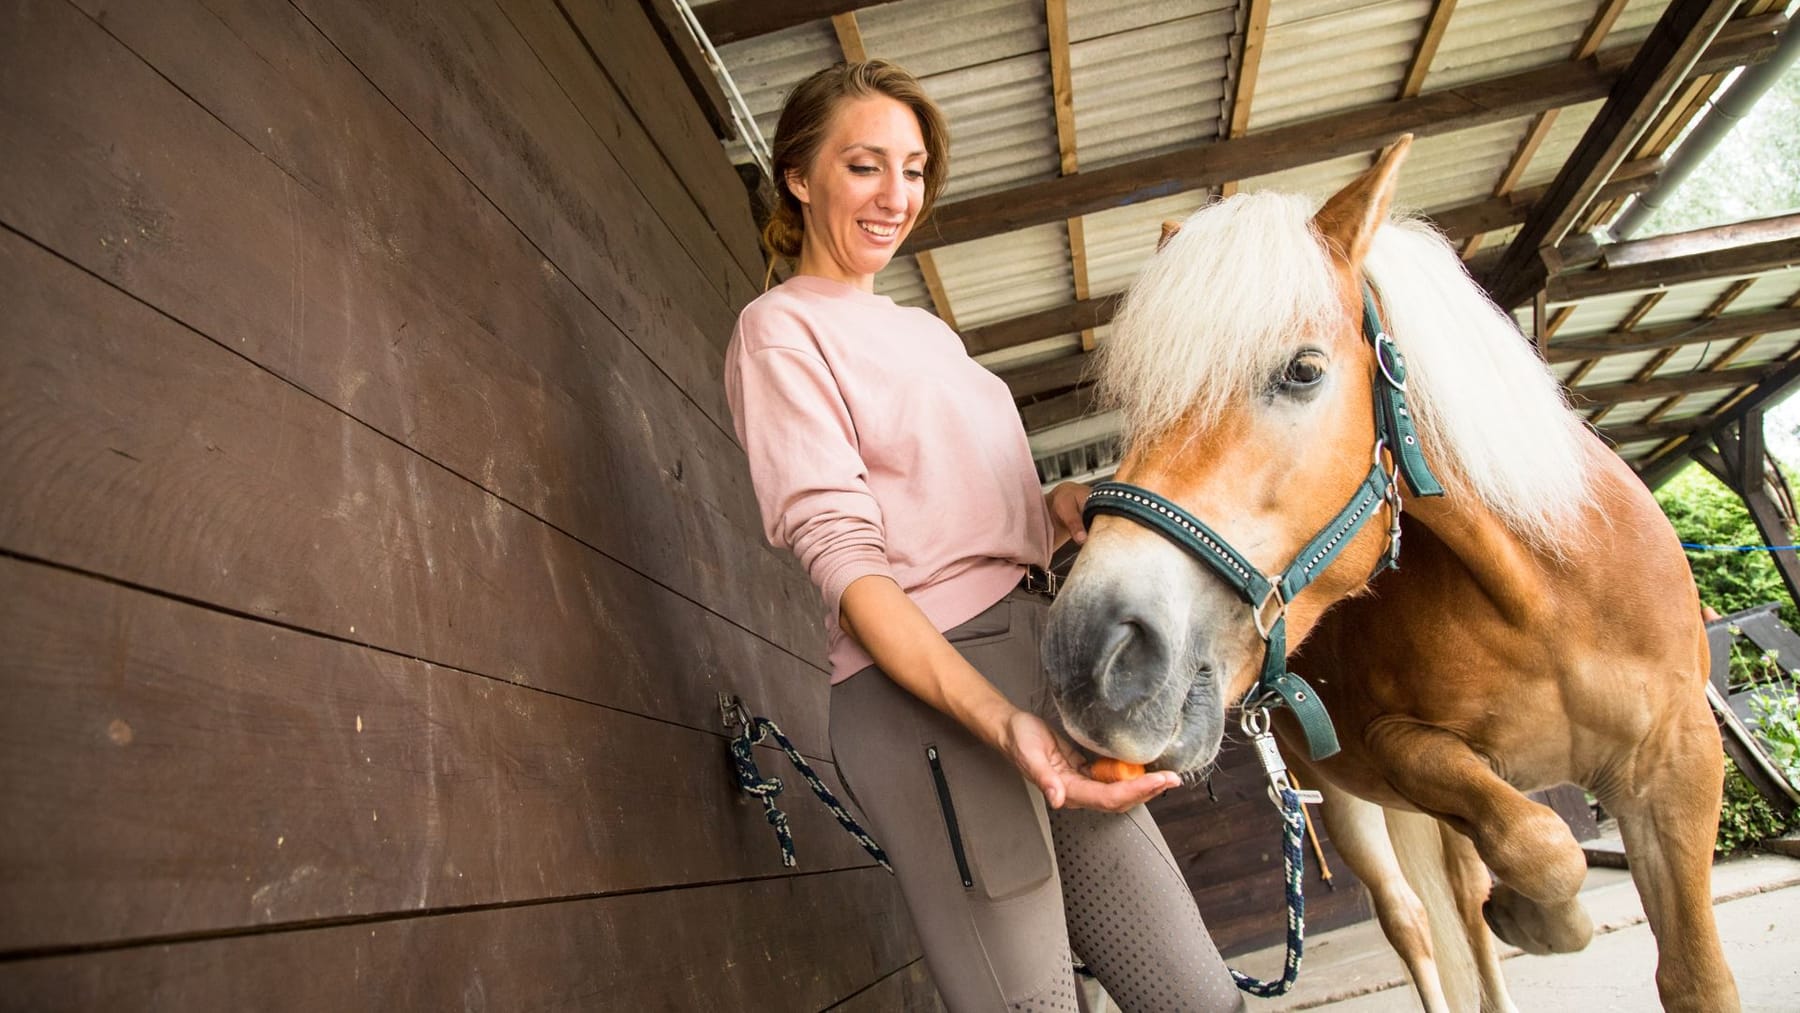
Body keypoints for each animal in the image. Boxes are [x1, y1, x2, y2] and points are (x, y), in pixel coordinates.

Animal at [1051, 136, 1735, 1013]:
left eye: (1303, 370)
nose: (1088, 654)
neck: (1542, 599)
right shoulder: (1402, 749)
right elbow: (1544, 843)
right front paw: (1544, 915)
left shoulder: (1680, 757)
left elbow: (1692, 973)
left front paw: (1533, 915)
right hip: (1340, 799)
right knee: (1414, 917)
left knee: (1463, 906)